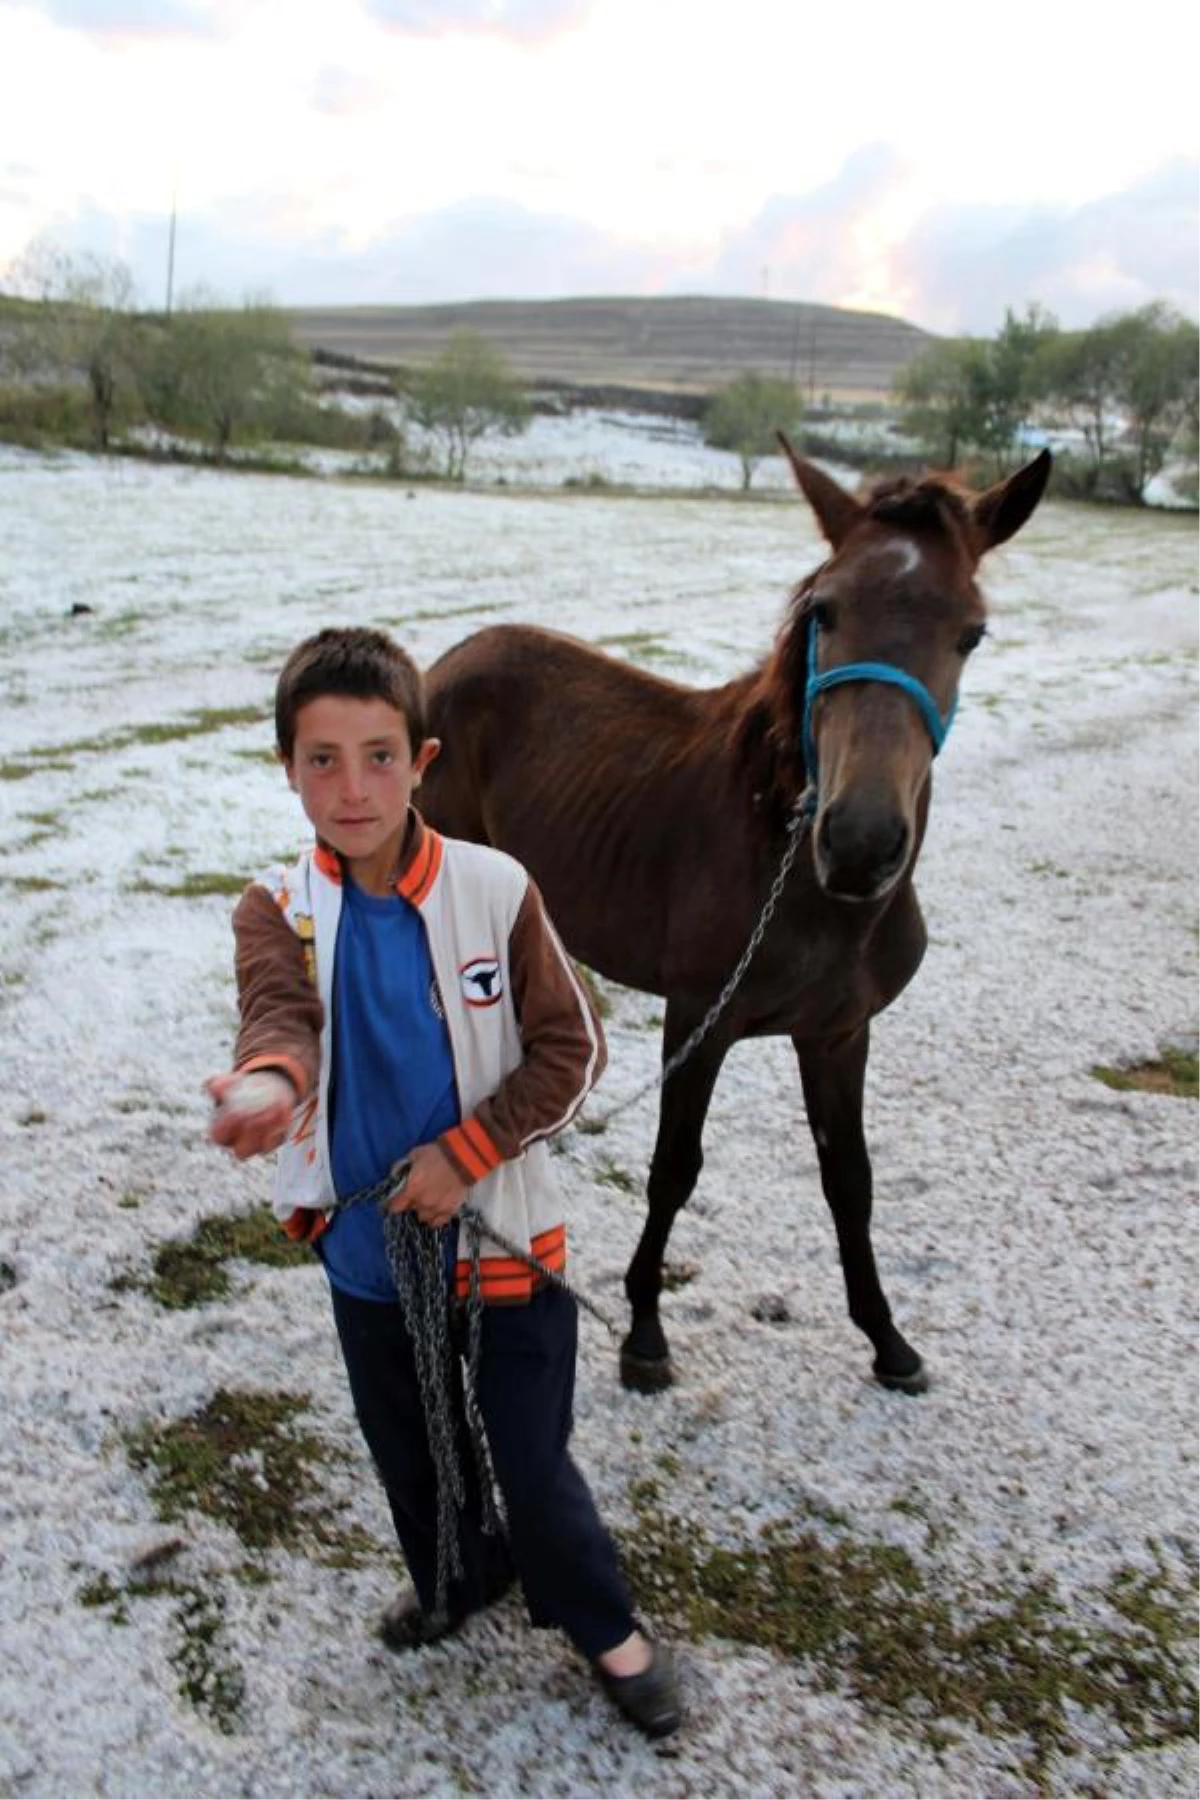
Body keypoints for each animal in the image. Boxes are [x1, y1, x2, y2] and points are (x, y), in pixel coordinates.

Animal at [420, 442, 1050, 1396]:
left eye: (971, 632)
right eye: (826, 609)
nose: (860, 842)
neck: (790, 865)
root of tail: (448, 661)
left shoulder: (838, 1034)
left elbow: (850, 1179)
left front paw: (887, 1339)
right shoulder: (700, 1019)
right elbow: (674, 1168)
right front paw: (644, 1330)